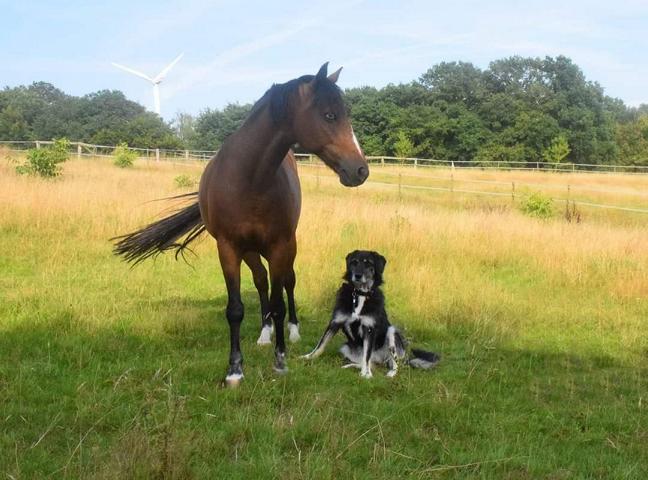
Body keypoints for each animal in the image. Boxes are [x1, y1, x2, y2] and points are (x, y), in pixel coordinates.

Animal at [113, 62, 368, 386]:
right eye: (329, 115)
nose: (360, 170)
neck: (251, 179)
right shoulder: (229, 248)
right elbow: (236, 308)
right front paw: (234, 369)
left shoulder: (280, 245)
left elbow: (279, 302)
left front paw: (280, 361)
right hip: (250, 251)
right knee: (261, 282)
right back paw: (264, 333)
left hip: (285, 248)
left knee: (287, 283)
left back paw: (291, 332)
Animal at [302, 249, 438, 376]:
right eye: (354, 262)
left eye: (368, 263)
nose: (357, 275)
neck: (360, 294)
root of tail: (380, 359)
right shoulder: (335, 322)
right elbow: (321, 344)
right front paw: (308, 357)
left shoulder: (369, 329)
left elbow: (366, 355)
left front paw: (366, 375)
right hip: (346, 347)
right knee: (370, 363)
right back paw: (349, 366)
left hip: (392, 333)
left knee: (394, 363)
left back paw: (390, 373)